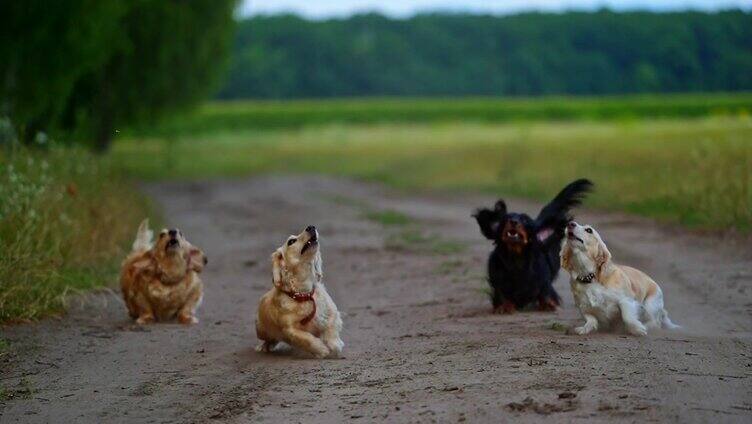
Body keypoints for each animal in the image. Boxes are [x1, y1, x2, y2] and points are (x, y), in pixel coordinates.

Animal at [256, 225, 344, 358]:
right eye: (291, 241)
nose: (311, 227)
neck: (304, 293)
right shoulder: (290, 329)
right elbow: (306, 339)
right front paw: (321, 350)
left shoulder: (331, 312)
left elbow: (331, 328)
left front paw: (335, 346)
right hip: (261, 330)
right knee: (269, 339)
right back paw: (264, 347)